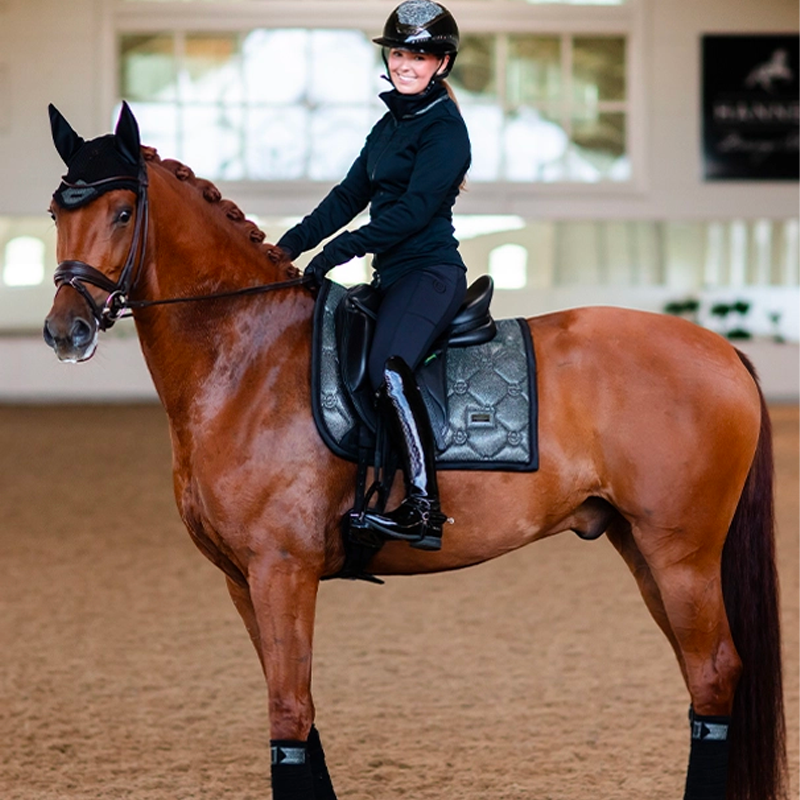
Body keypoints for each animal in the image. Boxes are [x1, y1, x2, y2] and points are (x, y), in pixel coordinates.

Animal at [43, 103, 786, 800]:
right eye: (57, 209)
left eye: (123, 212)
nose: (64, 332)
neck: (245, 356)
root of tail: (720, 350)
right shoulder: (241, 578)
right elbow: (301, 714)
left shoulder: (281, 570)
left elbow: (288, 714)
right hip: (642, 546)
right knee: (700, 676)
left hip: (681, 552)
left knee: (712, 673)